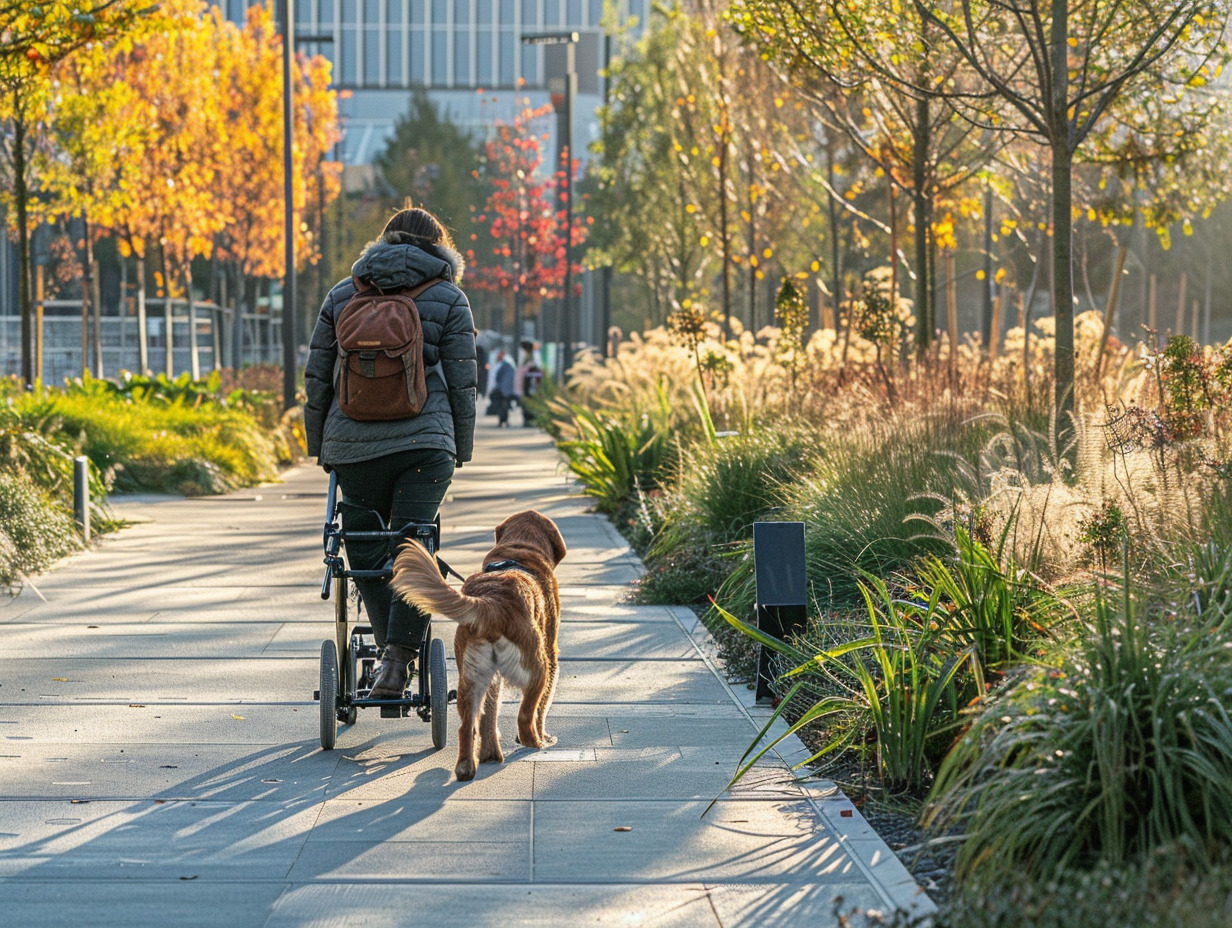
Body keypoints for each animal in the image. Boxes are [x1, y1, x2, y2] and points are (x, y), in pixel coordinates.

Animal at [391, 510, 564, 778]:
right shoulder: (552, 653)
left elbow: (489, 717)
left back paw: (468, 765)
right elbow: (542, 707)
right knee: (525, 715)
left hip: (471, 677)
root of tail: (490, 602)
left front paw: (489, 753)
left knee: (467, 726)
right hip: (538, 667)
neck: (519, 551)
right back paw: (535, 742)